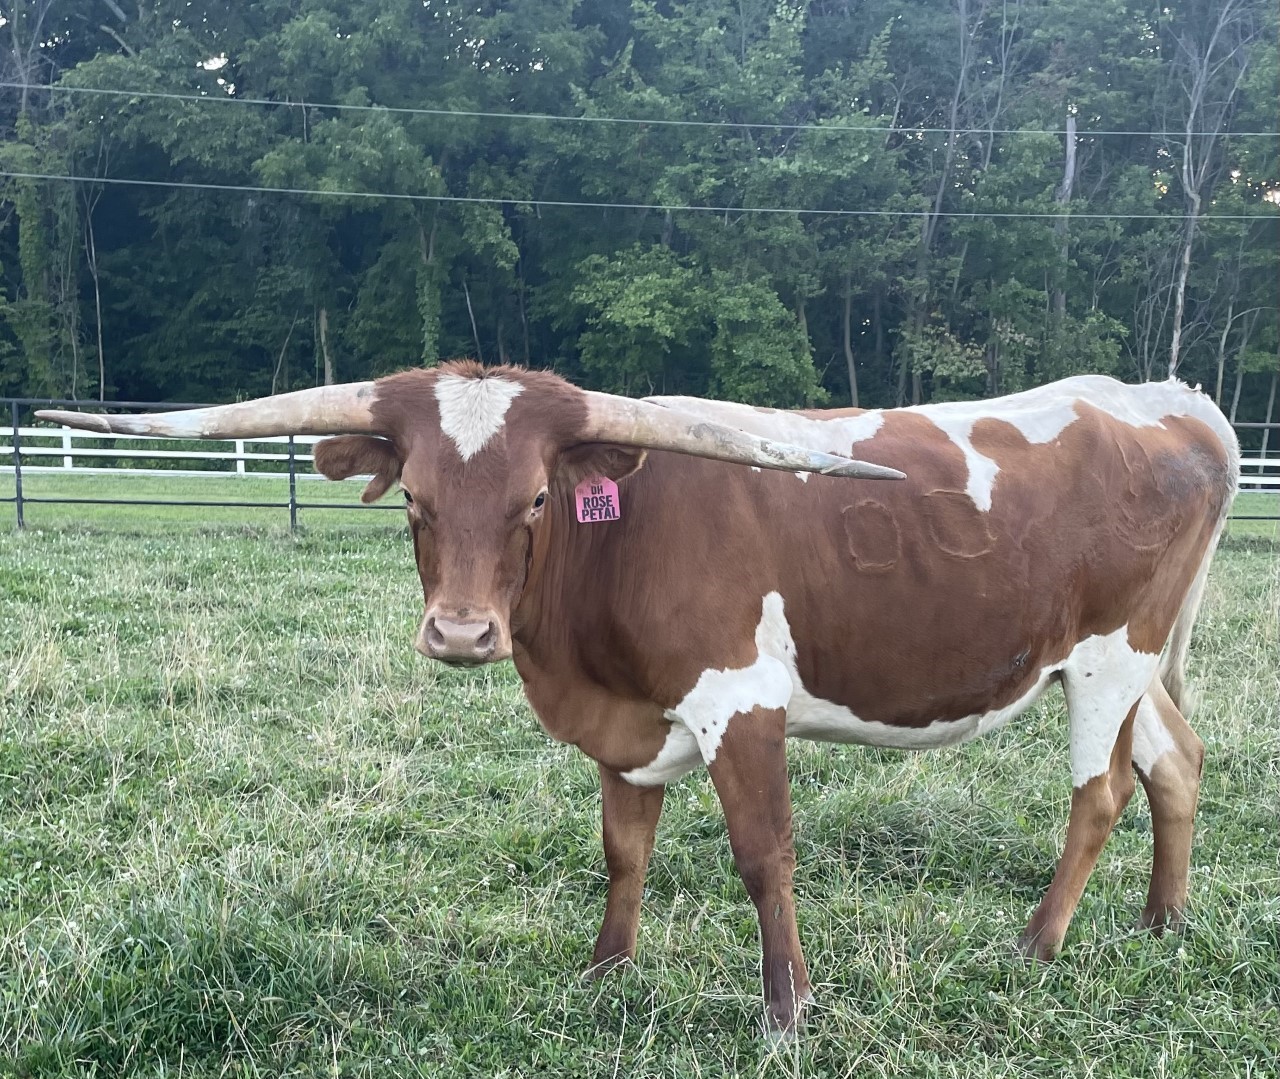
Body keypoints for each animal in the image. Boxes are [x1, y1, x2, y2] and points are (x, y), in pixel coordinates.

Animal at [39, 364, 1239, 1038]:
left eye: (534, 498)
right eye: (414, 500)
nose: (462, 633)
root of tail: (1162, 401)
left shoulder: (739, 702)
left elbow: (763, 854)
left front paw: (787, 1010)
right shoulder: (623, 724)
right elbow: (624, 847)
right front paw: (606, 971)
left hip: (1107, 658)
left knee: (1098, 795)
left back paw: (1037, 943)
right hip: (1131, 669)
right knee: (1175, 761)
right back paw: (1163, 919)